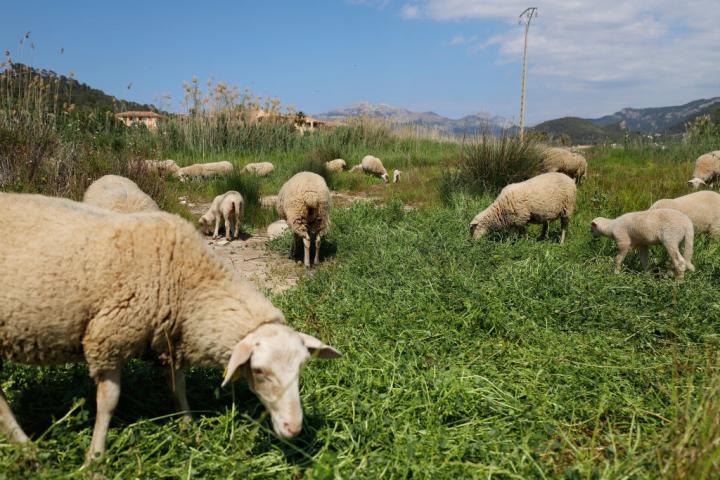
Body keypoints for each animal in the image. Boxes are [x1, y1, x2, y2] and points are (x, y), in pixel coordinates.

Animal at [0, 192, 341, 461]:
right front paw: (95, 457)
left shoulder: (169, 339)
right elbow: (108, 402)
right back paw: (28, 449)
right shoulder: (108, 337)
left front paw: (190, 429)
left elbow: (178, 389)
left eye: (302, 368)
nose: (294, 428)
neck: (186, 282)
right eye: (258, 371)